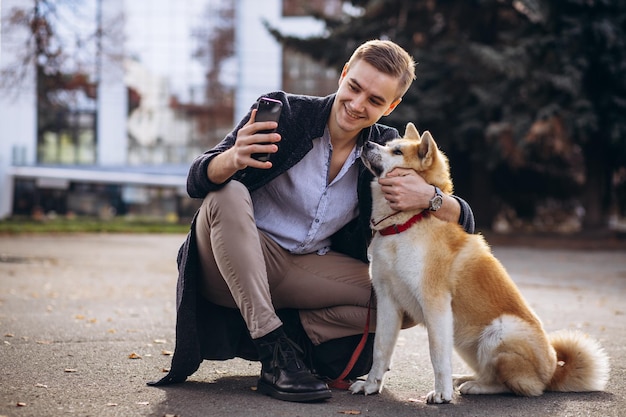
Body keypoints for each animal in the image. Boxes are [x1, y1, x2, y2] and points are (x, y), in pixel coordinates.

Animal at [348, 122, 608, 402]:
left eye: (396, 151)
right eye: (386, 145)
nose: (366, 143)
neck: (406, 223)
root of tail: (552, 373)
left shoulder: (435, 305)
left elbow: (437, 355)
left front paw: (442, 394)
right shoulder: (387, 301)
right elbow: (380, 350)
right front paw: (371, 386)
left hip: (500, 332)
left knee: (519, 387)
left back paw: (473, 386)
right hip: (466, 342)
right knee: (492, 375)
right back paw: (465, 379)